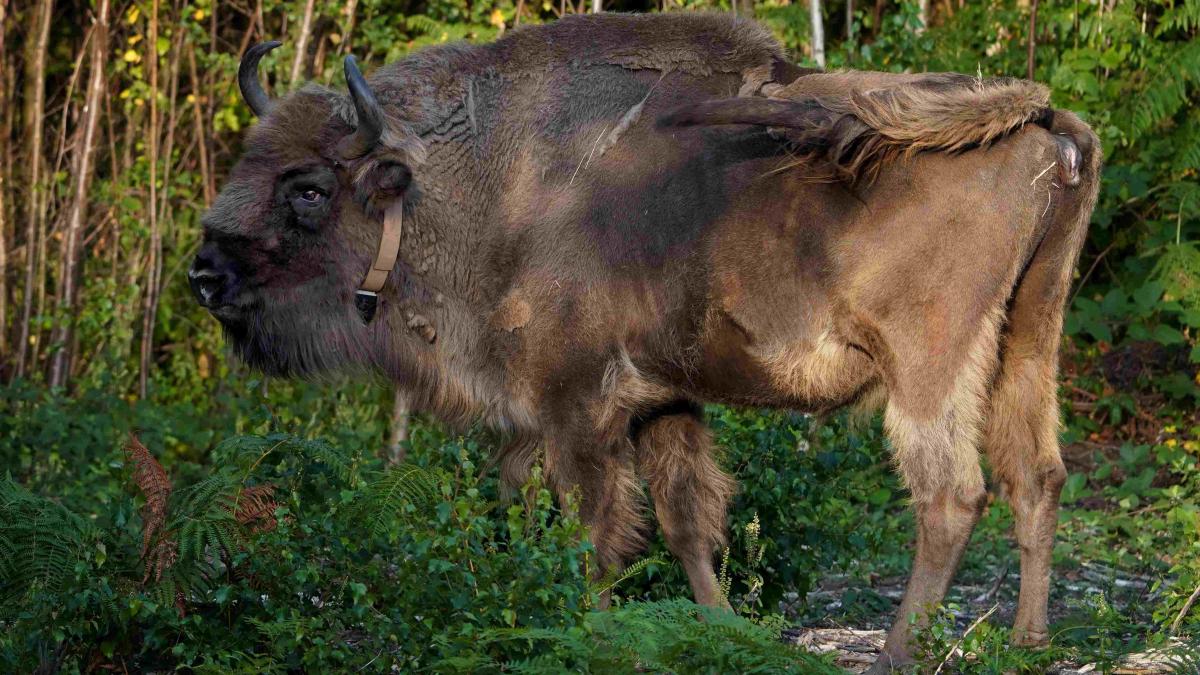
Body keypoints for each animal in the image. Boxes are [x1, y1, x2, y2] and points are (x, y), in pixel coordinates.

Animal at [192, 11, 1099, 667]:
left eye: (307, 189)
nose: (205, 274)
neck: (489, 183)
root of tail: (1042, 122)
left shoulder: (576, 406)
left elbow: (594, 534)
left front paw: (589, 635)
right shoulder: (663, 399)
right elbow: (685, 517)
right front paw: (722, 630)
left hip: (929, 365)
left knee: (951, 494)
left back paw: (896, 653)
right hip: (1030, 336)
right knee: (1037, 475)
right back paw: (1031, 641)